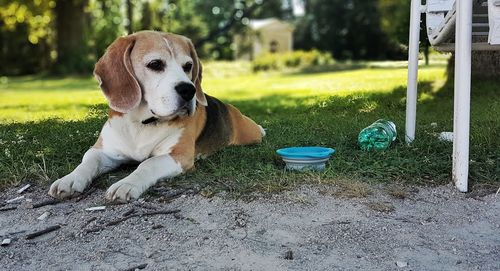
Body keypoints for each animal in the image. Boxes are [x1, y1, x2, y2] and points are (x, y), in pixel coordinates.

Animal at [47, 30, 266, 203]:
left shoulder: (178, 156)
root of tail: (230, 107)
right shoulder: (104, 151)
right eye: (155, 64)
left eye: (188, 66)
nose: (189, 90)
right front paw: (69, 179)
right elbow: (87, 161)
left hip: (250, 134)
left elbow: (147, 164)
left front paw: (127, 183)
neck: (141, 123)